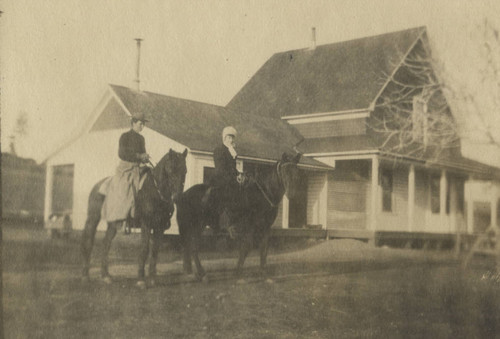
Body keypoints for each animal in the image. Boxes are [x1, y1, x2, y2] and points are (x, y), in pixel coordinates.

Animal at [82, 149, 188, 286]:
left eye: (185, 171)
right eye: (170, 169)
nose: (177, 196)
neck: (155, 191)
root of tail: (98, 185)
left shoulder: (159, 227)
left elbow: (155, 251)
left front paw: (152, 279)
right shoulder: (146, 224)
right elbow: (144, 249)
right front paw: (141, 279)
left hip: (113, 223)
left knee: (106, 243)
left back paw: (106, 276)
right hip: (93, 218)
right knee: (89, 241)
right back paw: (85, 276)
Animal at [176, 152, 300, 282]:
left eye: (296, 171)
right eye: (284, 171)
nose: (292, 194)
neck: (262, 195)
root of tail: (183, 195)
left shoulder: (265, 228)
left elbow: (264, 249)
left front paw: (264, 274)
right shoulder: (250, 227)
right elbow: (246, 247)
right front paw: (238, 273)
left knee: (189, 246)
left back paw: (194, 272)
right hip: (196, 225)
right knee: (193, 247)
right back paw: (202, 274)